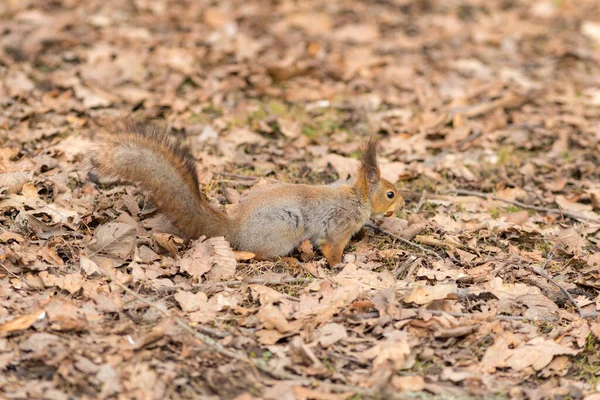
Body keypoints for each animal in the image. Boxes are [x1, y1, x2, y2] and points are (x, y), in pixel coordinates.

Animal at [94, 120, 404, 268]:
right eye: (390, 193)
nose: (402, 204)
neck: (358, 199)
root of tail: (235, 229)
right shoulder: (338, 227)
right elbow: (332, 249)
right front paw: (340, 264)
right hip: (284, 229)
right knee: (259, 255)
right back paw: (287, 260)